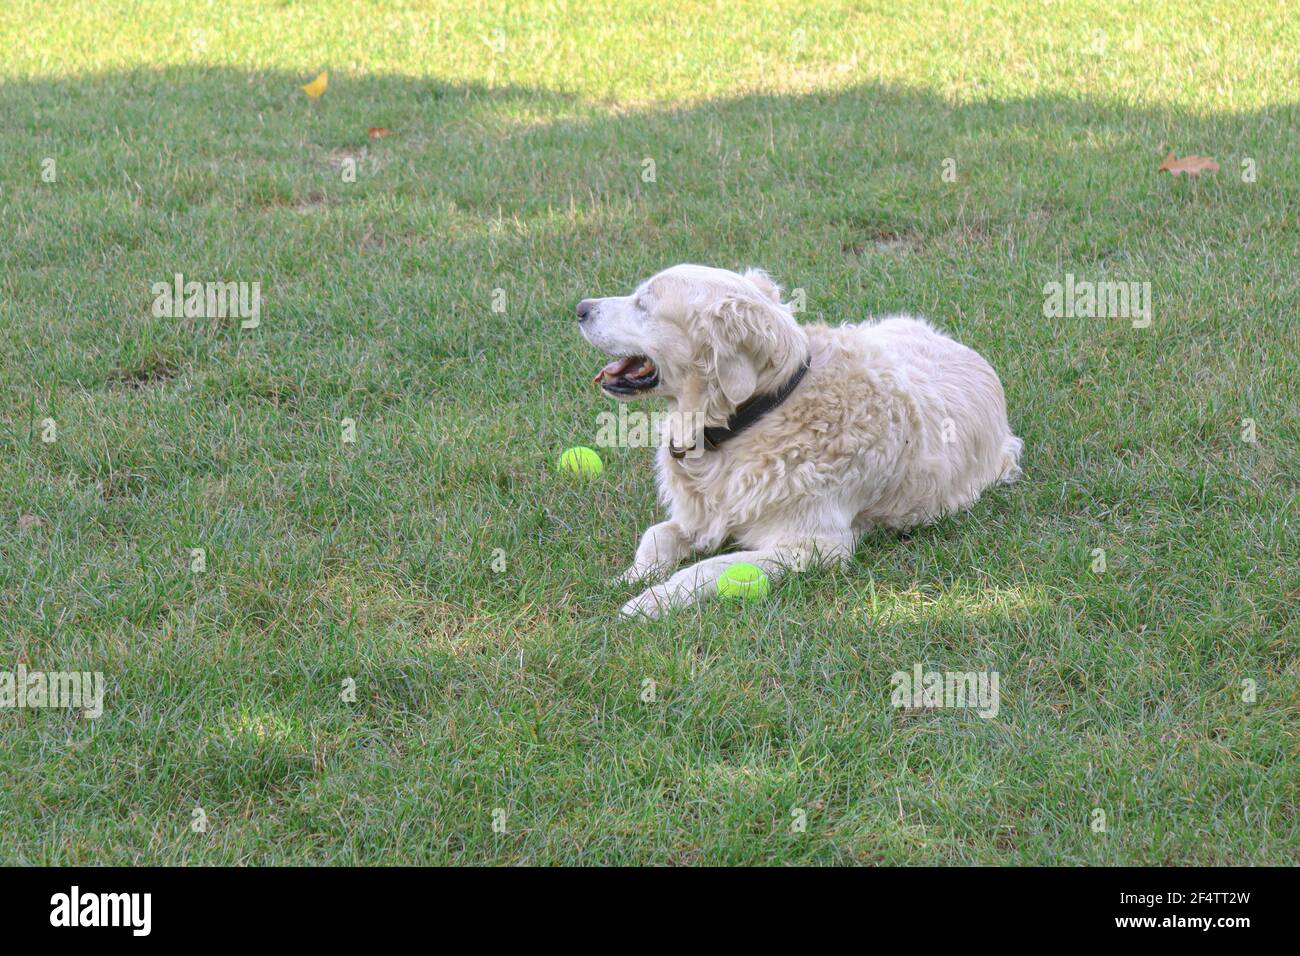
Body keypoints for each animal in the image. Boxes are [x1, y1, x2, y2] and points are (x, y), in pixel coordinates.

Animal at [574, 264, 1019, 621]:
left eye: (643, 304)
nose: (579, 308)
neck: (751, 418)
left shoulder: (814, 545)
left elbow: (711, 567)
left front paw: (651, 601)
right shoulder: (697, 516)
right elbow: (656, 536)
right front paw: (629, 577)